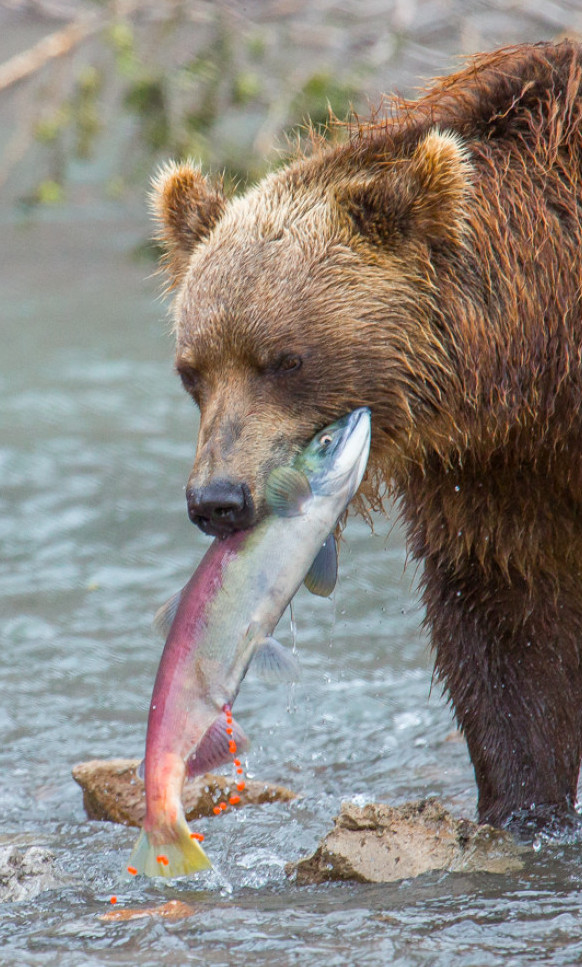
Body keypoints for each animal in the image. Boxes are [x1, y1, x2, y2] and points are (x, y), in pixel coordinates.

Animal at [153, 41, 582, 836]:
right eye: (192, 369)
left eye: (285, 359)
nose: (218, 498)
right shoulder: (496, 468)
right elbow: (507, 623)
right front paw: (524, 809)